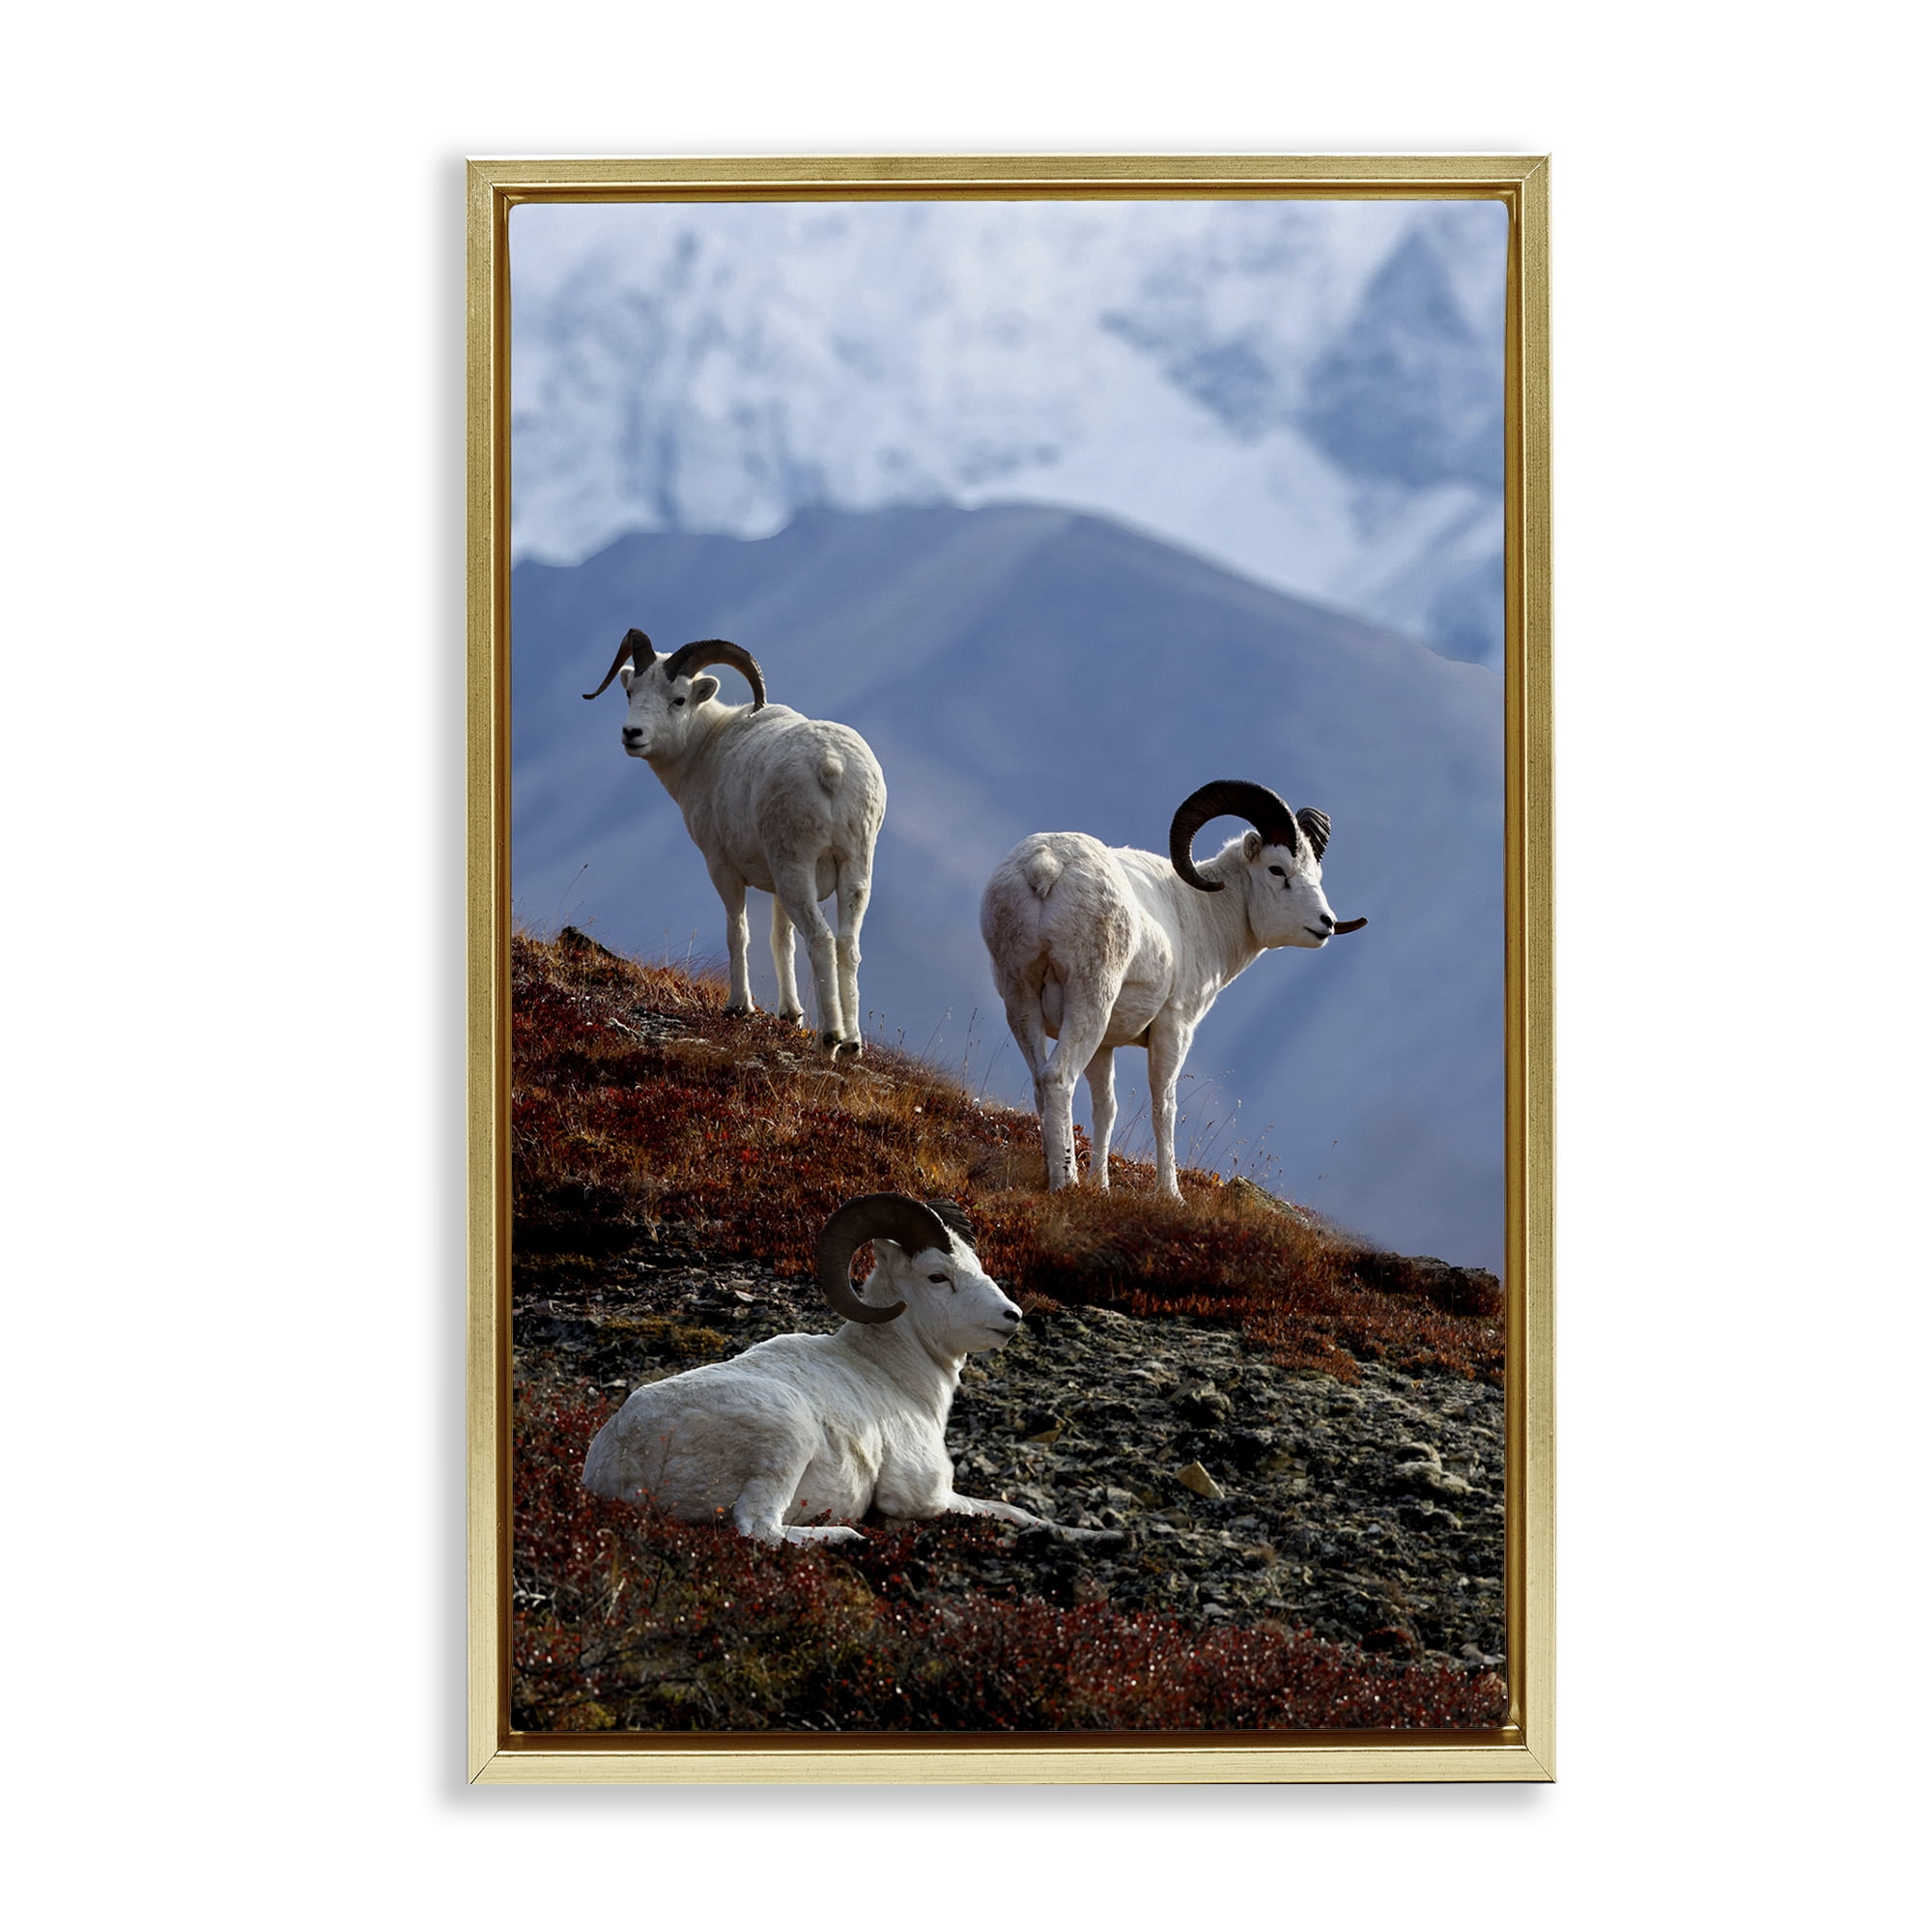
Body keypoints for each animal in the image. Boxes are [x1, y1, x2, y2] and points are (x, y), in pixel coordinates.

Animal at [582, 1193, 1084, 1545]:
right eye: (938, 1276)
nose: (1011, 1316)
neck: (895, 1377)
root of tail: (624, 1462)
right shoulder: (926, 1497)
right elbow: (1016, 1511)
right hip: (787, 1438)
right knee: (759, 1529)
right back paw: (849, 1536)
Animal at [584, 628, 885, 1056]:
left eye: (678, 699)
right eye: (631, 692)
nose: (632, 735)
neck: (704, 750)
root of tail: (831, 765)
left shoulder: (722, 867)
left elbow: (737, 932)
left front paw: (738, 1007)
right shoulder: (775, 886)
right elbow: (781, 940)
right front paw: (790, 1015)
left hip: (796, 871)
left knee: (822, 941)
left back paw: (828, 1041)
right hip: (853, 872)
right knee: (847, 945)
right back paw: (852, 1044)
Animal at [979, 779, 1369, 1199]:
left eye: (1317, 873)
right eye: (1277, 869)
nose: (1325, 923)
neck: (1204, 913)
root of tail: (1047, 865)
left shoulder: (1106, 1046)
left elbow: (1106, 1108)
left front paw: (1102, 1187)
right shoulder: (1174, 1028)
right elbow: (1164, 1107)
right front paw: (1171, 1194)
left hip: (1020, 998)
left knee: (1040, 1080)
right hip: (1089, 1001)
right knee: (1058, 1078)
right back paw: (1065, 1182)